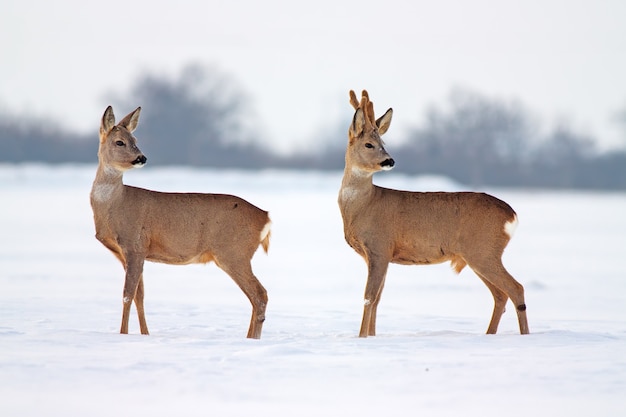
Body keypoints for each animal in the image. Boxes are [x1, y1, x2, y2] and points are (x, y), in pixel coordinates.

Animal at [90, 105, 270, 338]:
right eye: (120, 141)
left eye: (134, 139)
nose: (141, 158)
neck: (114, 206)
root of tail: (266, 217)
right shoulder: (126, 253)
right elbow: (140, 296)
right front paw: (145, 334)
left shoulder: (135, 245)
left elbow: (127, 294)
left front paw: (123, 334)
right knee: (256, 297)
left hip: (234, 252)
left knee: (260, 294)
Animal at [336, 89, 528, 336]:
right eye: (370, 144)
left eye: (383, 143)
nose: (390, 160)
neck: (363, 206)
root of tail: (512, 215)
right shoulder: (381, 254)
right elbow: (378, 299)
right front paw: (372, 336)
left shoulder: (379, 245)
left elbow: (369, 297)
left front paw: (361, 337)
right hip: (479, 254)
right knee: (500, 294)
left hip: (483, 250)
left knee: (516, 288)